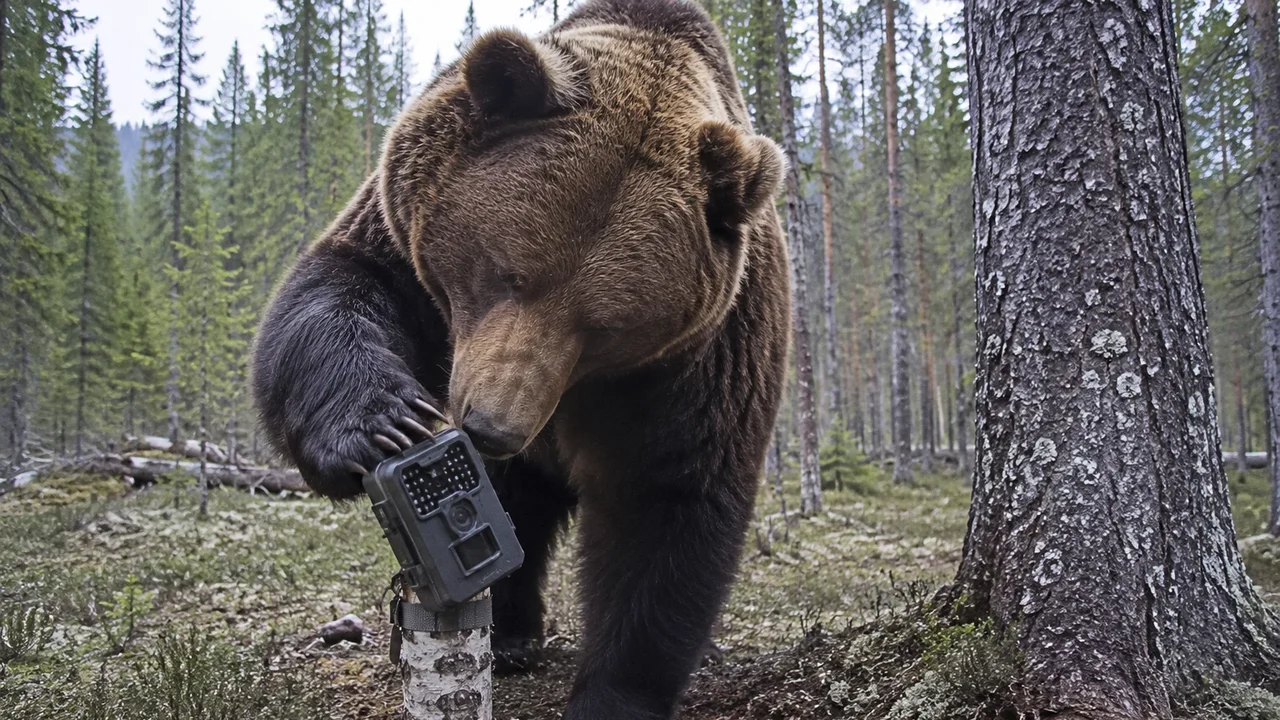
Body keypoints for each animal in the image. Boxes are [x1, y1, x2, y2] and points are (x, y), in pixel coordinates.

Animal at [250, 0, 790, 717]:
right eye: (509, 274)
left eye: (604, 326)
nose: (490, 426)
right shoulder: (406, 248)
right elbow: (337, 289)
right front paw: (383, 424)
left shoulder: (698, 357)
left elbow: (666, 496)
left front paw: (610, 695)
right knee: (517, 507)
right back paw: (508, 635)